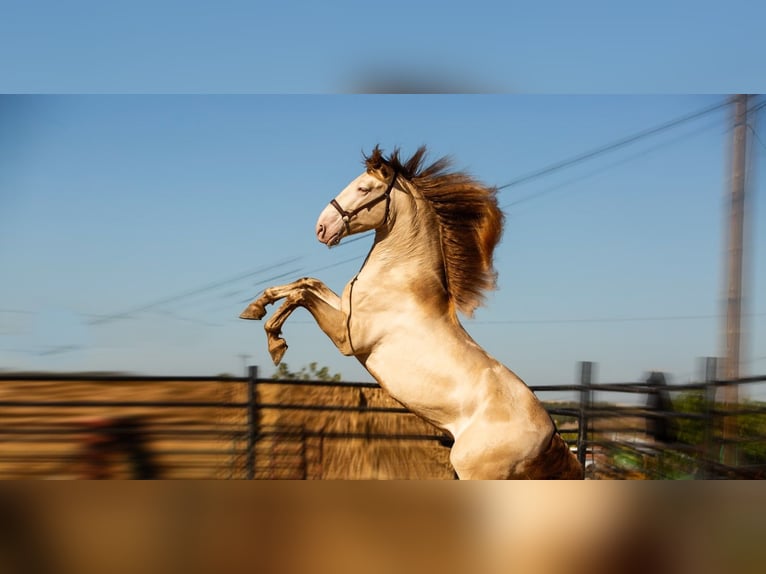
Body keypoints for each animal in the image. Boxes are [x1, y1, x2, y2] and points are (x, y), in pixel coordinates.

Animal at [243, 146, 584, 480]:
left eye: (364, 188)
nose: (321, 228)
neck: (400, 279)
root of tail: (552, 435)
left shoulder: (348, 338)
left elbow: (300, 294)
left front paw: (275, 342)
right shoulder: (346, 310)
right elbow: (307, 282)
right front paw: (255, 308)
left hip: (474, 469)